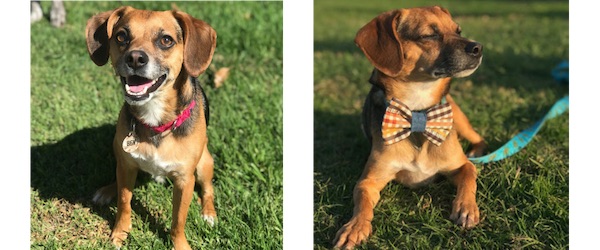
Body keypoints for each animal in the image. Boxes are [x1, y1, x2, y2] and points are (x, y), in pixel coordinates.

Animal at [84, 5, 216, 250]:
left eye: (166, 40)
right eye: (121, 36)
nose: (135, 58)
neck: (155, 119)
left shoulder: (185, 180)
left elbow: (178, 220)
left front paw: (180, 244)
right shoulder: (127, 166)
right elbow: (124, 202)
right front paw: (120, 233)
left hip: (205, 164)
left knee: (208, 189)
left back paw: (209, 213)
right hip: (121, 158)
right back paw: (107, 190)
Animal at [332, 5, 488, 248]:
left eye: (458, 31)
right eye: (429, 35)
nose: (478, 47)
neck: (417, 113)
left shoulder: (461, 166)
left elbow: (469, 178)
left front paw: (466, 207)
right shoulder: (368, 182)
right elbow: (362, 203)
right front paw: (355, 227)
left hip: (459, 119)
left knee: (479, 138)